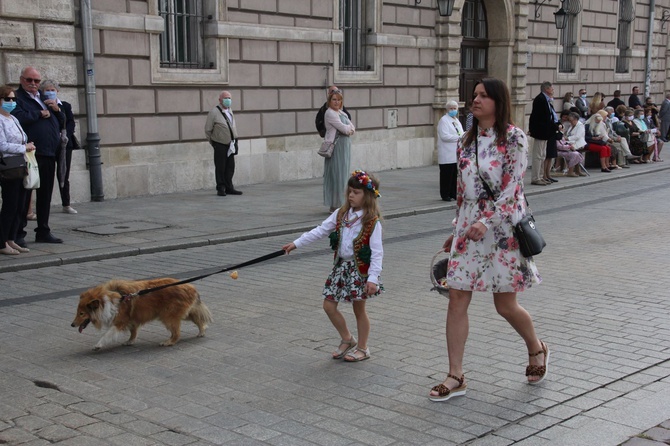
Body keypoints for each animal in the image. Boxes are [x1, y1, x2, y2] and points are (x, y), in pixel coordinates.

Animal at [71, 278, 213, 348]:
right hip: (185, 313)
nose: (72, 325)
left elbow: (107, 334)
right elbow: (133, 332)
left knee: (177, 333)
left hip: (168, 316)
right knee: (199, 319)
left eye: (82, 313)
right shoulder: (131, 320)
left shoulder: (120, 321)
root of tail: (190, 287)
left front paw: (98, 345)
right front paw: (130, 341)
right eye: (77, 312)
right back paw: (202, 331)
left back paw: (168, 342)